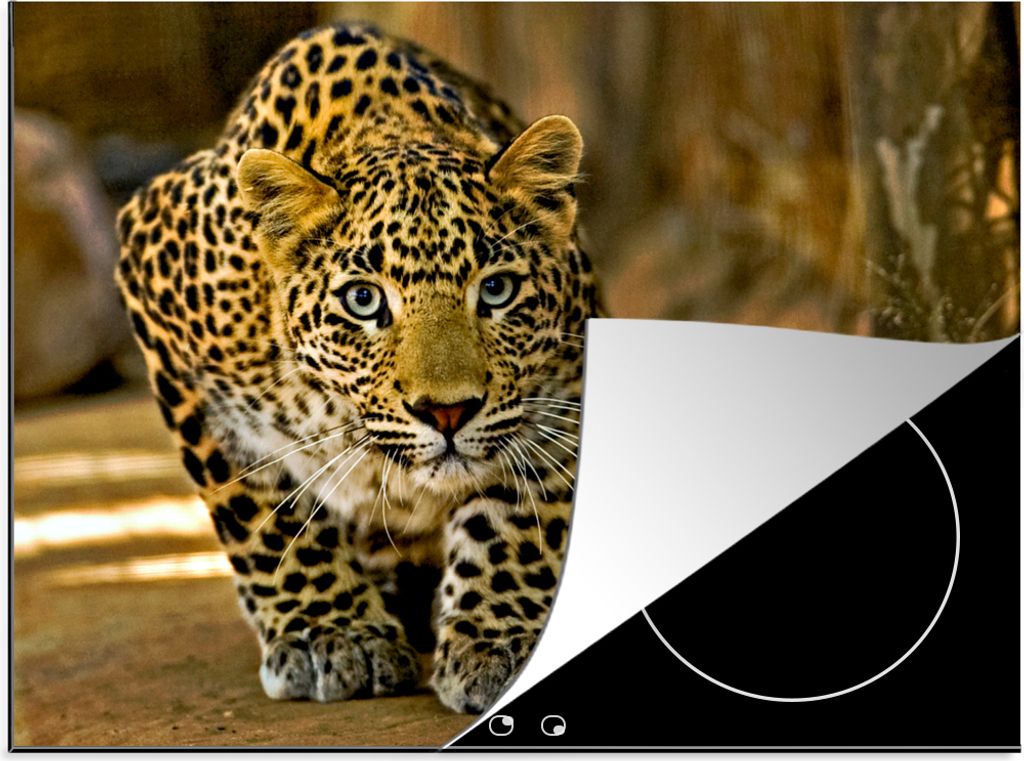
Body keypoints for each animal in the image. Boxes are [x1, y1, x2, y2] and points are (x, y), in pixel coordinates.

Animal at [114, 21, 601, 714]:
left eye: (497, 290)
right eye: (364, 300)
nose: (448, 412)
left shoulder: (562, 381)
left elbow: (522, 515)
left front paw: (502, 642)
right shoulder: (156, 289)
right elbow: (262, 514)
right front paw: (330, 633)